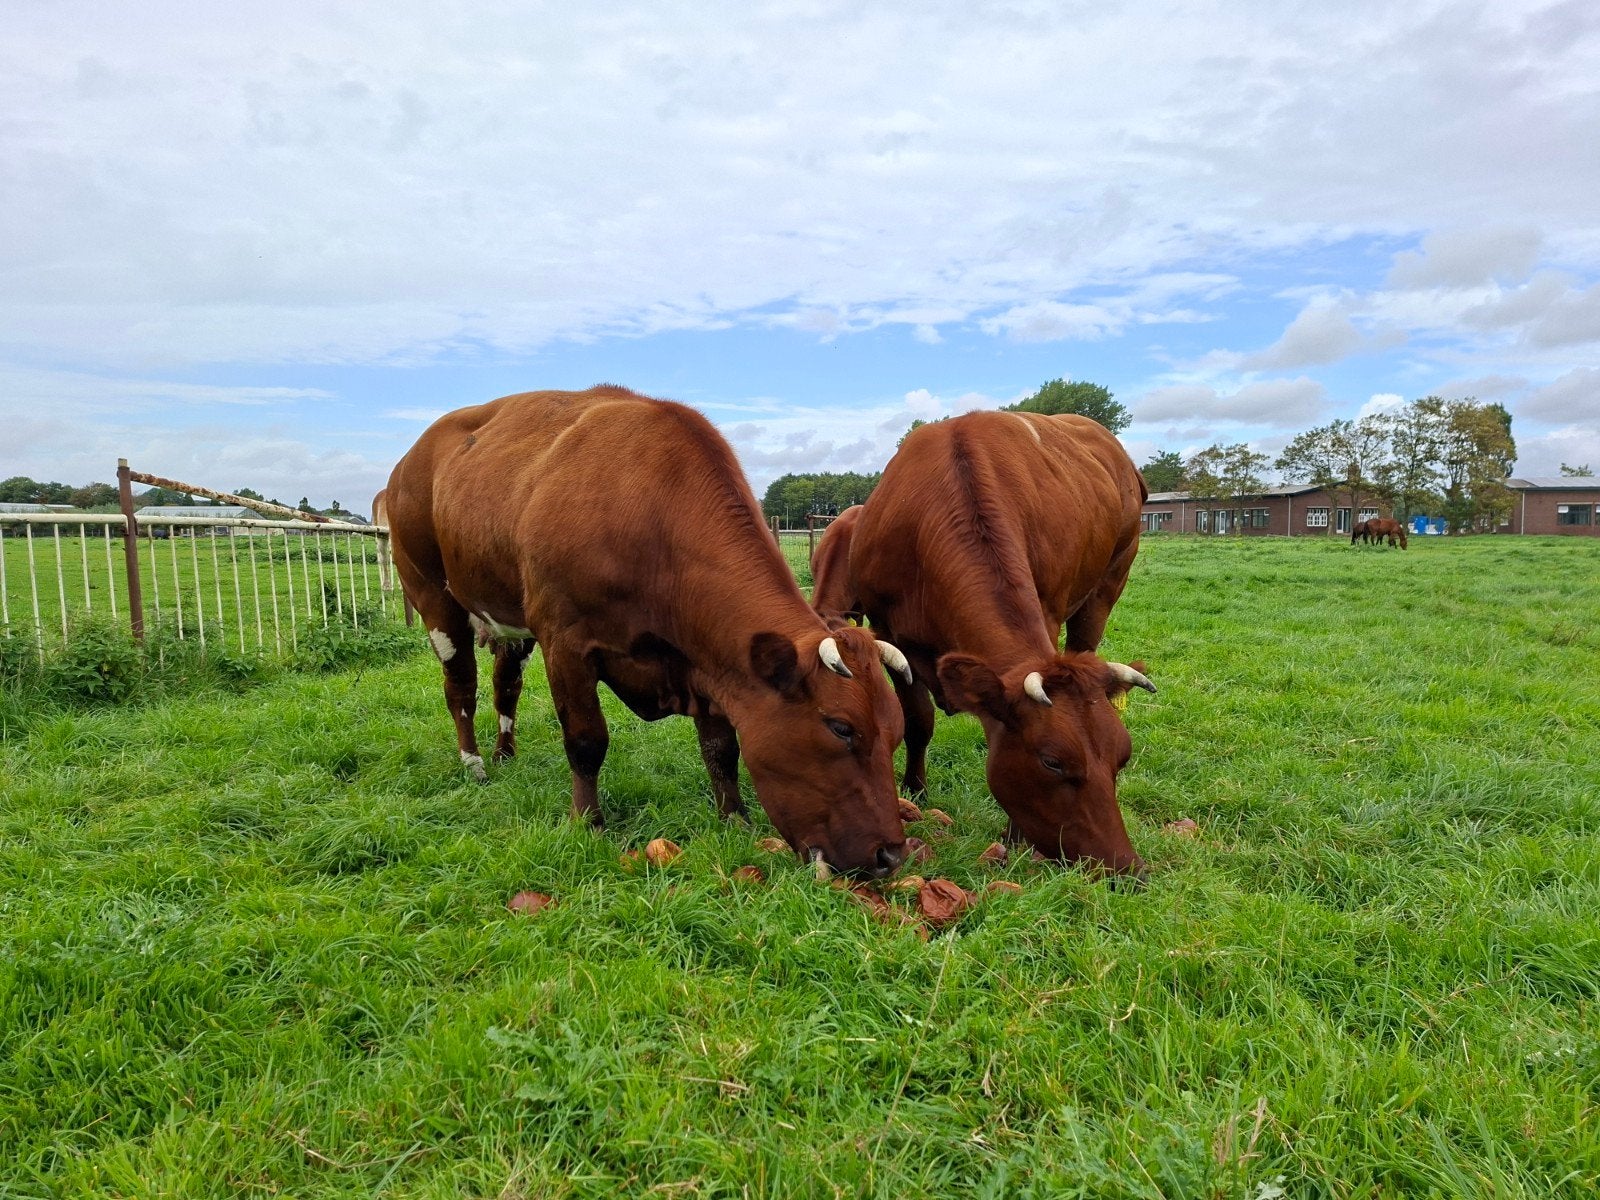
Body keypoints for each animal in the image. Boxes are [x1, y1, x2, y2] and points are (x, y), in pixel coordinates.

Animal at [384, 386, 910, 878]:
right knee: (461, 686)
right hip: (433, 596)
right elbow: (586, 740)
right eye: (841, 728)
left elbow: (722, 749)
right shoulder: (565, 642)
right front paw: (588, 822)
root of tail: (412, 457)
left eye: (896, 732)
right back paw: (472, 762)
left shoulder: (707, 662)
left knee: (504, 685)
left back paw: (505, 753)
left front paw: (735, 819)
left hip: (510, 619)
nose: (891, 854)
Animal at [846, 410, 1155, 877]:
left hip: (1108, 584)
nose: (1125, 868)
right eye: (1052, 761)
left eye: (1123, 756)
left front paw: (1014, 837)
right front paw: (915, 793)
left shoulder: (1047, 610)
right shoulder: (887, 633)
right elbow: (918, 720)